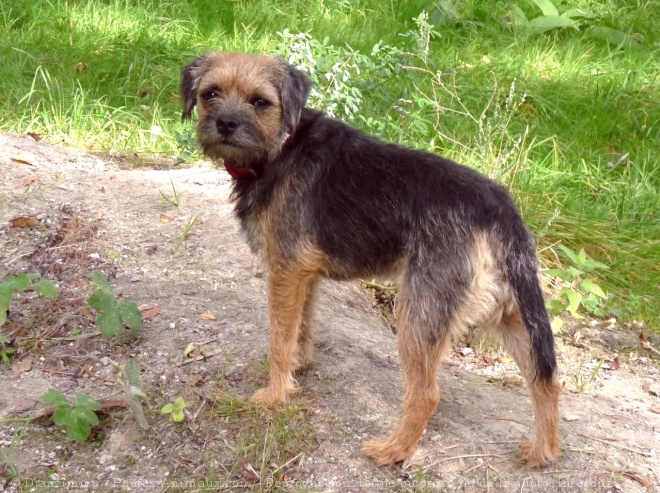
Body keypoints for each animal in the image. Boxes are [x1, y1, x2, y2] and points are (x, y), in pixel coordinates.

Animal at [182, 52, 564, 468]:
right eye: (210, 93)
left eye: (260, 102)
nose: (226, 124)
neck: (280, 146)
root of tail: (501, 210)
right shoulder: (304, 276)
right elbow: (301, 328)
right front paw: (299, 367)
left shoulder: (284, 272)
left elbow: (279, 340)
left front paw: (274, 395)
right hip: (512, 314)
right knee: (546, 379)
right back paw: (542, 451)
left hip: (419, 314)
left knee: (426, 394)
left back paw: (394, 450)